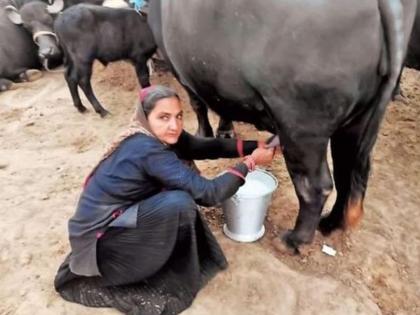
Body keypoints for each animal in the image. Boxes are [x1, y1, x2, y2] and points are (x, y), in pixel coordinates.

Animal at [149, 0, 418, 252]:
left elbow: (197, 105)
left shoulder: (181, 70)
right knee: (348, 174)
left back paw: (294, 240)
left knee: (315, 186)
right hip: (359, 122)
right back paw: (331, 223)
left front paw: (202, 138)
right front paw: (223, 131)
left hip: (301, 125)